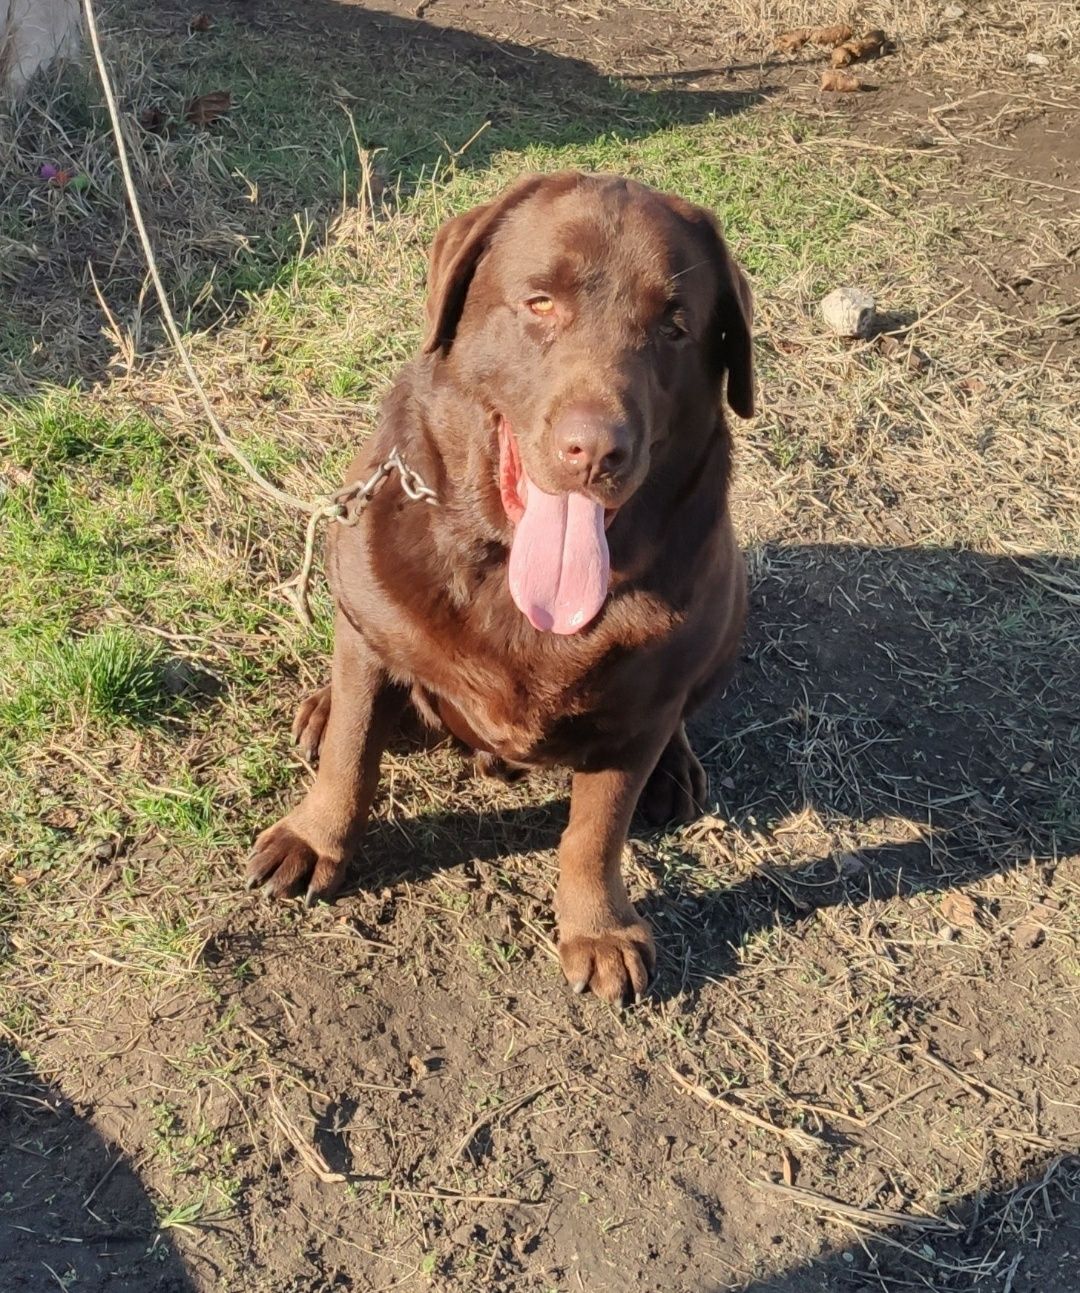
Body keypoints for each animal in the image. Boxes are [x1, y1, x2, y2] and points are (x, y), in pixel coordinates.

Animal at [245, 169, 755, 998]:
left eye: (675, 326)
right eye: (539, 302)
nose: (595, 450)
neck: (505, 571)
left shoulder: (643, 702)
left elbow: (595, 830)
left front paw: (598, 927)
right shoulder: (371, 619)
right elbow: (352, 754)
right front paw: (314, 838)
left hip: (729, 611)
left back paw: (674, 771)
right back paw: (321, 707)